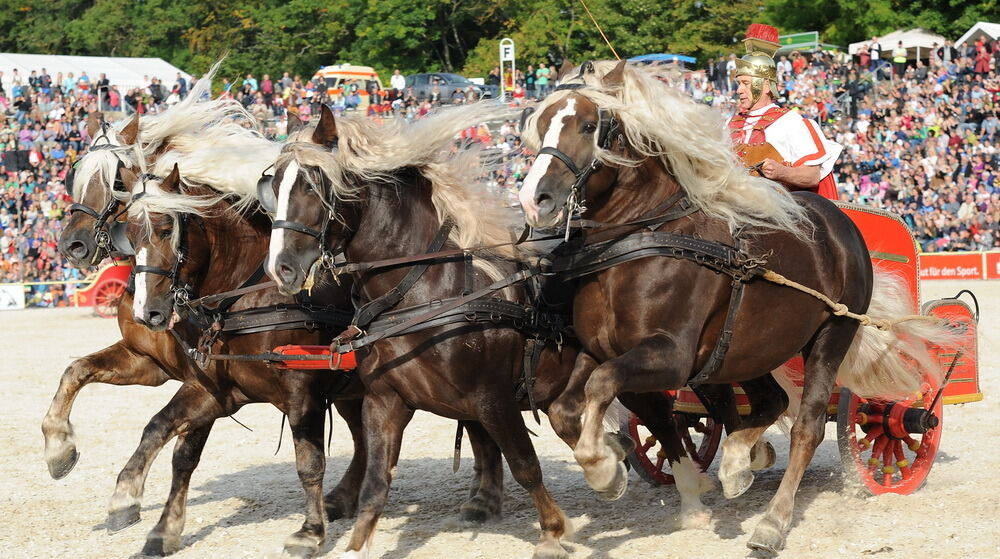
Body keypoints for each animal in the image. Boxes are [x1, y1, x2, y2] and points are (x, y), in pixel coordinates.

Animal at [516, 60, 952, 552]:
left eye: (589, 125)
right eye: (540, 122)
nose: (534, 199)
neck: (638, 241)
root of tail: (840, 223)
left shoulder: (670, 355)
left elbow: (602, 385)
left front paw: (603, 467)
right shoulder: (601, 349)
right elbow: (569, 407)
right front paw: (612, 468)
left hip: (831, 335)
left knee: (808, 426)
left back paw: (772, 522)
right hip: (747, 350)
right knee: (768, 401)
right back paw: (739, 460)